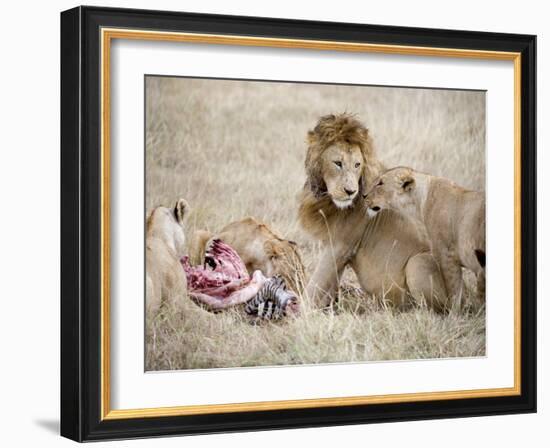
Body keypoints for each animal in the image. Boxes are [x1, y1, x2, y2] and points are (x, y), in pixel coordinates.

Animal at [300, 114, 450, 312]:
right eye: (338, 163)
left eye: (357, 164)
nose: (351, 191)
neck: (329, 200)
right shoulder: (339, 250)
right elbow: (328, 284)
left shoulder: (340, 245)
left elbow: (315, 284)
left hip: (417, 263)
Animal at [366, 166, 488, 306]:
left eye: (380, 183)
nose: (364, 196)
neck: (420, 203)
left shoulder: (447, 257)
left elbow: (454, 294)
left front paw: (454, 311)